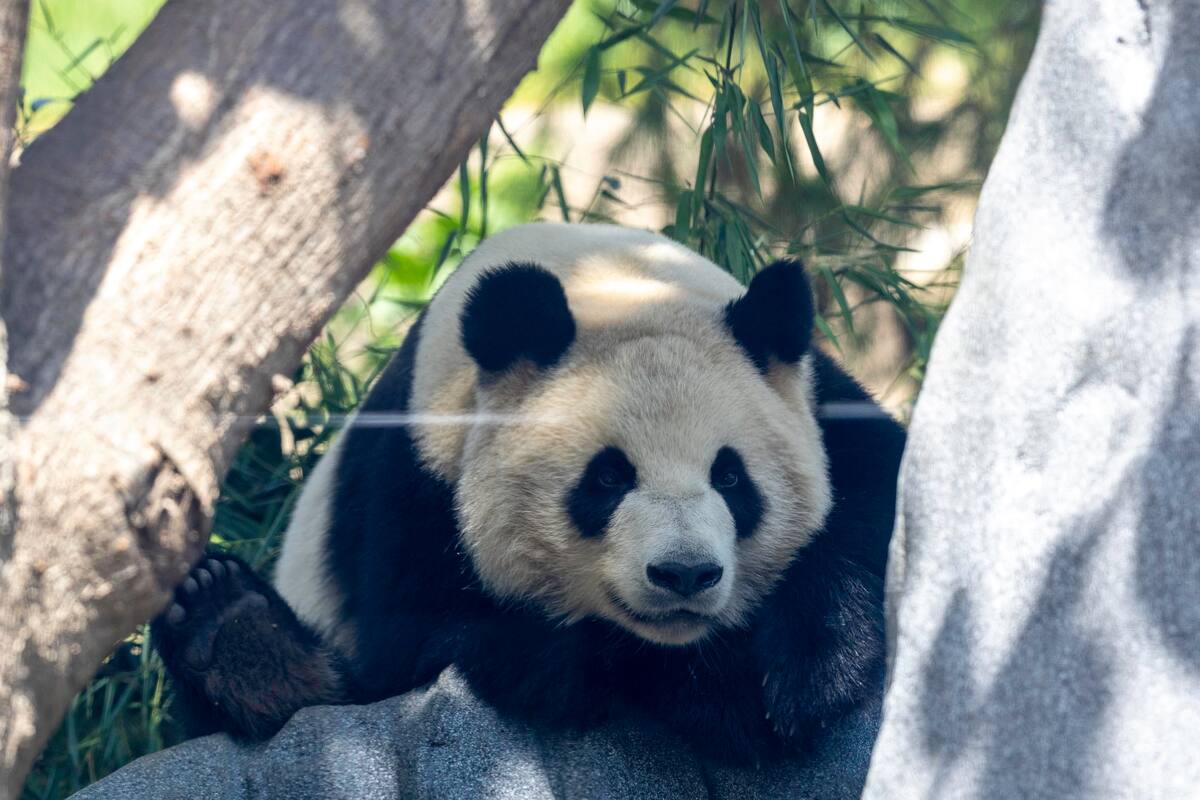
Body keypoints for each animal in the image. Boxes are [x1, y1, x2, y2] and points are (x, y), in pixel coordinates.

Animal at [152, 222, 905, 765]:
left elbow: (877, 502)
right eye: (608, 477)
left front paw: (808, 668)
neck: (602, 279)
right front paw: (720, 690)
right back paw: (236, 631)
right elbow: (436, 641)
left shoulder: (825, 396)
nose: (685, 573)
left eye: (730, 476)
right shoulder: (415, 478)